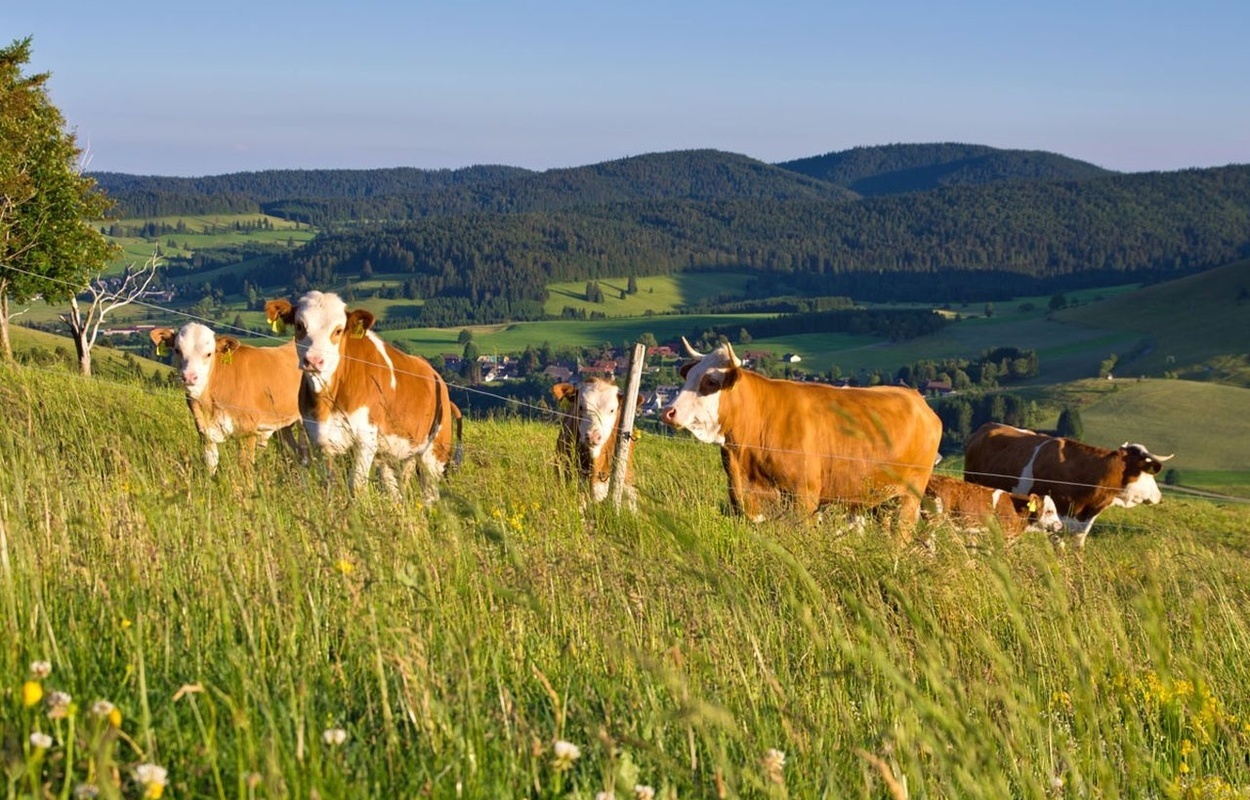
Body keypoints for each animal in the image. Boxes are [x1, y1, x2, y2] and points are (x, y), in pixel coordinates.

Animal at [150, 322, 306, 475]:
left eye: (209, 353)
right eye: (177, 350)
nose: (189, 377)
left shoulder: (247, 431)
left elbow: (245, 467)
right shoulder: (204, 432)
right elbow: (211, 464)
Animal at [263, 290, 460, 502]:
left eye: (338, 330)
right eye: (300, 325)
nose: (314, 360)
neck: (327, 400)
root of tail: (434, 375)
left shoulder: (365, 440)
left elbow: (356, 486)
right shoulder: (320, 440)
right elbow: (329, 485)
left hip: (435, 453)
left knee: (430, 494)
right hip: (392, 454)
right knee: (396, 491)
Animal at [665, 335, 940, 530]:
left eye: (711, 382)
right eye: (689, 375)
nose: (668, 411)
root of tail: (916, 397)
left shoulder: (803, 496)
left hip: (910, 496)